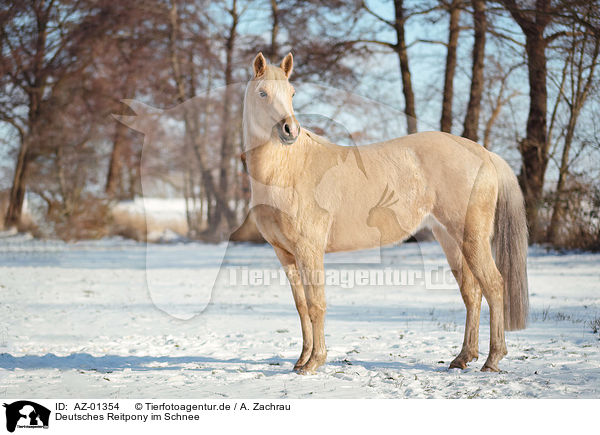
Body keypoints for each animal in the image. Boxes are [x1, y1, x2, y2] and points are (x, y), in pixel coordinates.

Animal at [241, 52, 528, 374]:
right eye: (263, 93)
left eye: (291, 93)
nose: (290, 130)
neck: (289, 168)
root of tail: (484, 154)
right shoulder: (286, 254)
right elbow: (302, 305)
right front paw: (301, 360)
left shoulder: (309, 250)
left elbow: (316, 304)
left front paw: (315, 361)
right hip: (451, 240)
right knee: (472, 292)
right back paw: (462, 357)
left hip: (472, 238)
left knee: (494, 285)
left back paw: (492, 359)